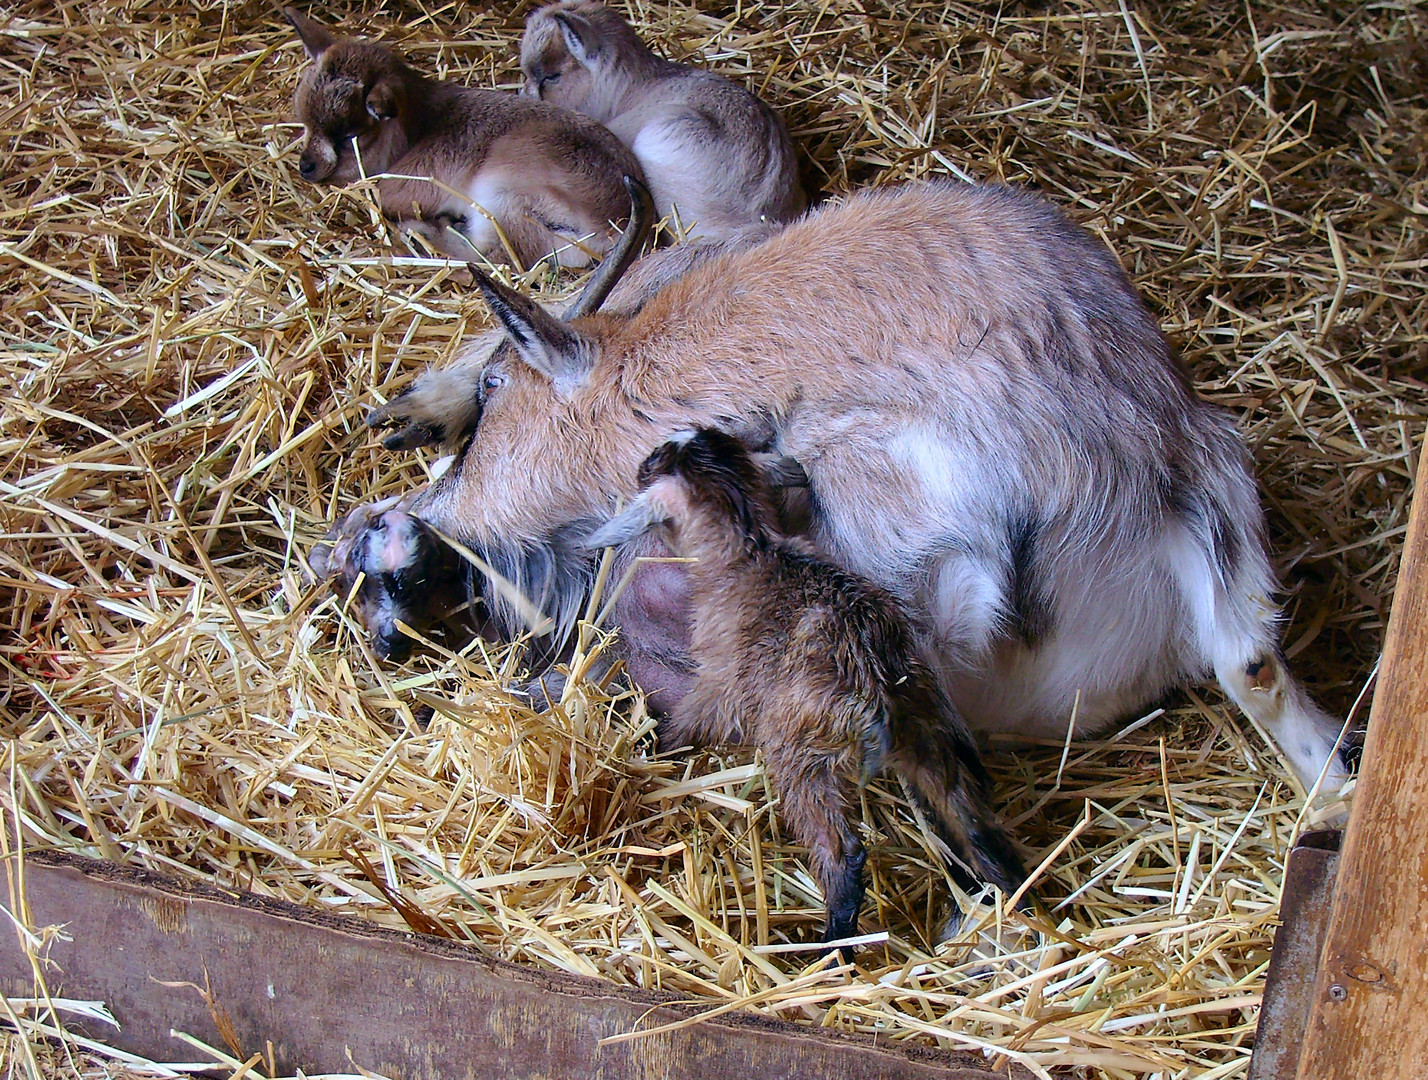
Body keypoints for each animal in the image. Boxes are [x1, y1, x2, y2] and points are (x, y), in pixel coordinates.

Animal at [287, 7, 645, 268]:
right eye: (303, 119)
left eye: (350, 135)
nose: (306, 166)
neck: (419, 128)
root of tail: (614, 225)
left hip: (503, 194)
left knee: (497, 256)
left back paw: (422, 234)